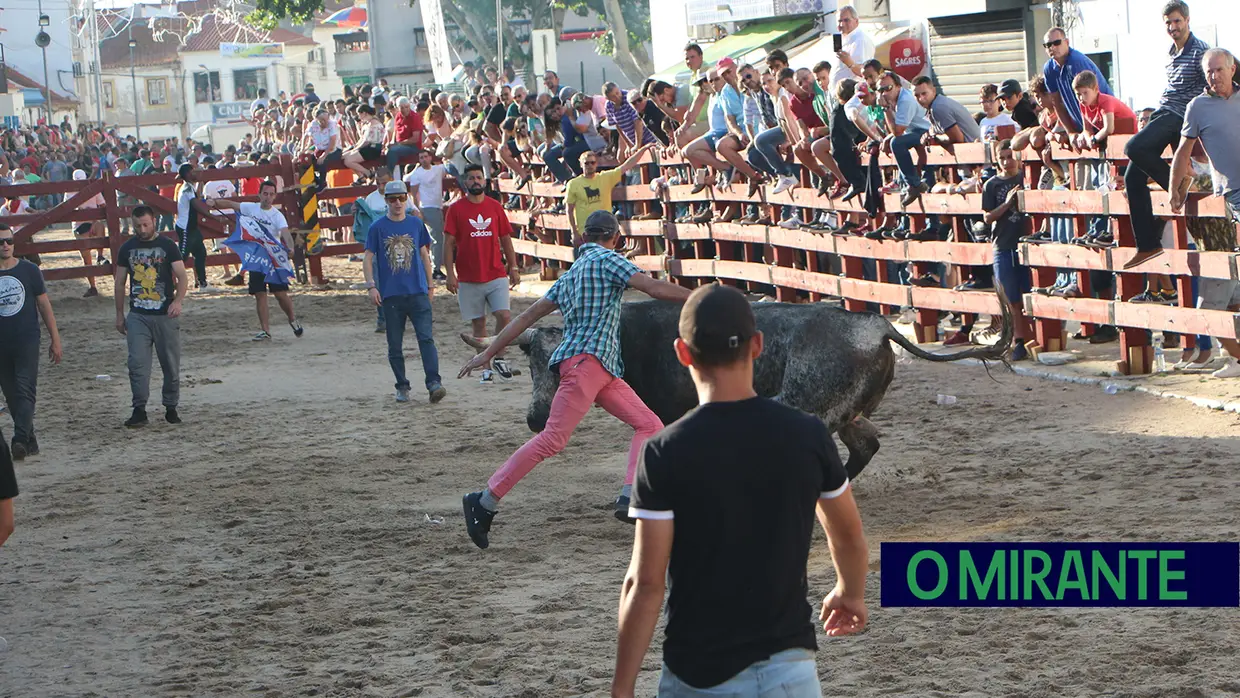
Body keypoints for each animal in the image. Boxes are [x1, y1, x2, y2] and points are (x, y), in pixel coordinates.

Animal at [461, 295, 1011, 481]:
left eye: (563, 368)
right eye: (531, 361)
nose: (536, 418)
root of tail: (876, 326)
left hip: (808, 405)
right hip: (847, 411)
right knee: (865, 445)